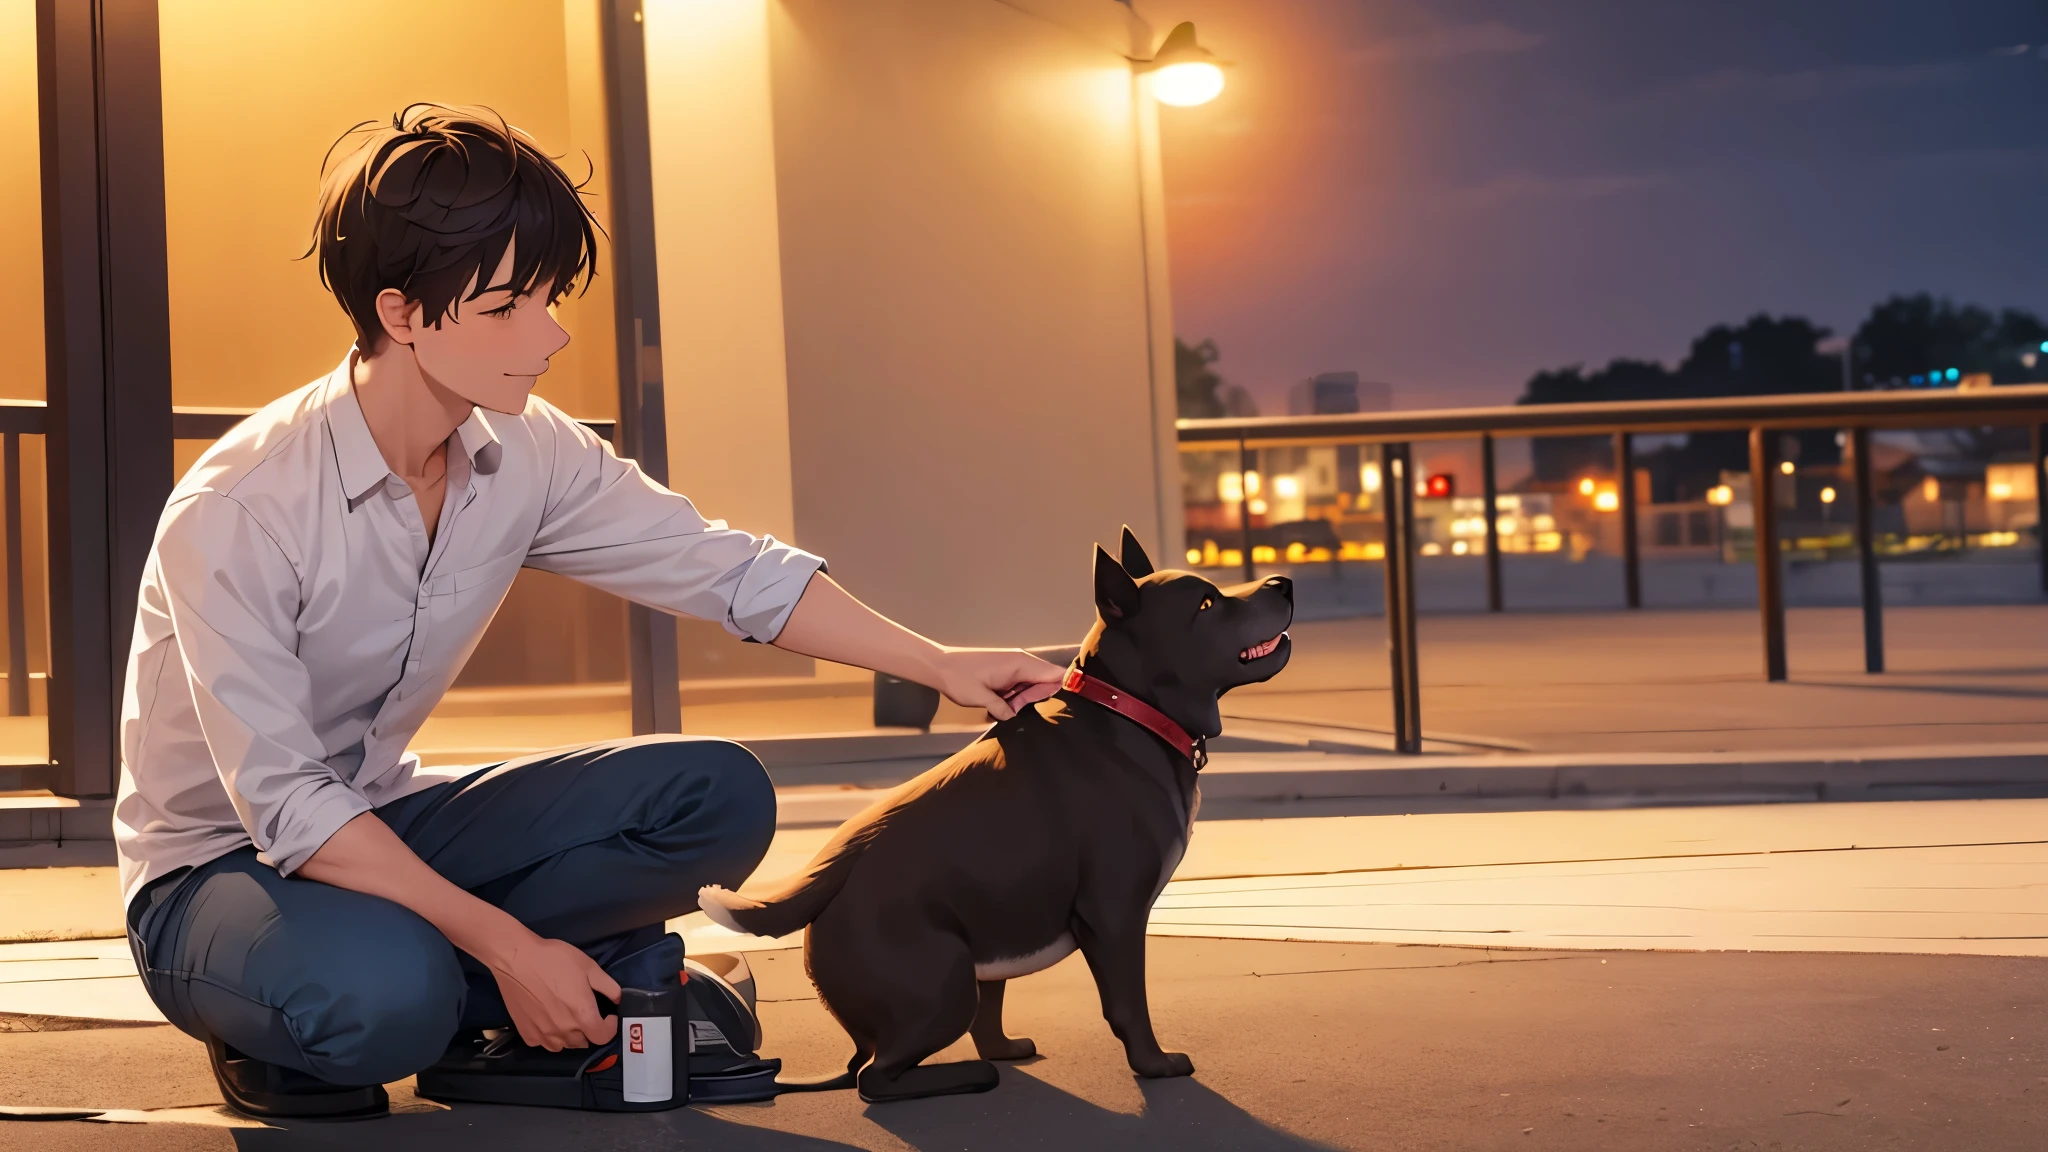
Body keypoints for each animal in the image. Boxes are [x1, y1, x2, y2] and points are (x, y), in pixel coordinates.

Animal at [696, 524, 1286, 1098]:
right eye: (1207, 604)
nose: (1282, 583)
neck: (1130, 712)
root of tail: (820, 886)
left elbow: (1012, 1006)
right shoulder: (1114, 915)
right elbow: (1126, 1004)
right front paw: (1156, 1066)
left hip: (972, 952)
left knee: (911, 1044)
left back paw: (994, 1057)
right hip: (943, 987)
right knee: (876, 1078)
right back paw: (970, 1075)